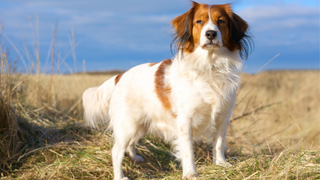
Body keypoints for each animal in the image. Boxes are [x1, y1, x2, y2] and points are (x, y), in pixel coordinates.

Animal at [82, 1, 252, 180]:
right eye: (199, 21)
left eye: (221, 21)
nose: (211, 34)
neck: (209, 67)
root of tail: (120, 76)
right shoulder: (185, 120)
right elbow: (188, 151)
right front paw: (190, 173)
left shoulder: (223, 116)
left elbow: (219, 143)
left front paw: (221, 164)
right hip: (127, 125)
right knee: (116, 151)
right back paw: (120, 176)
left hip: (140, 125)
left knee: (131, 144)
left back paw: (135, 159)